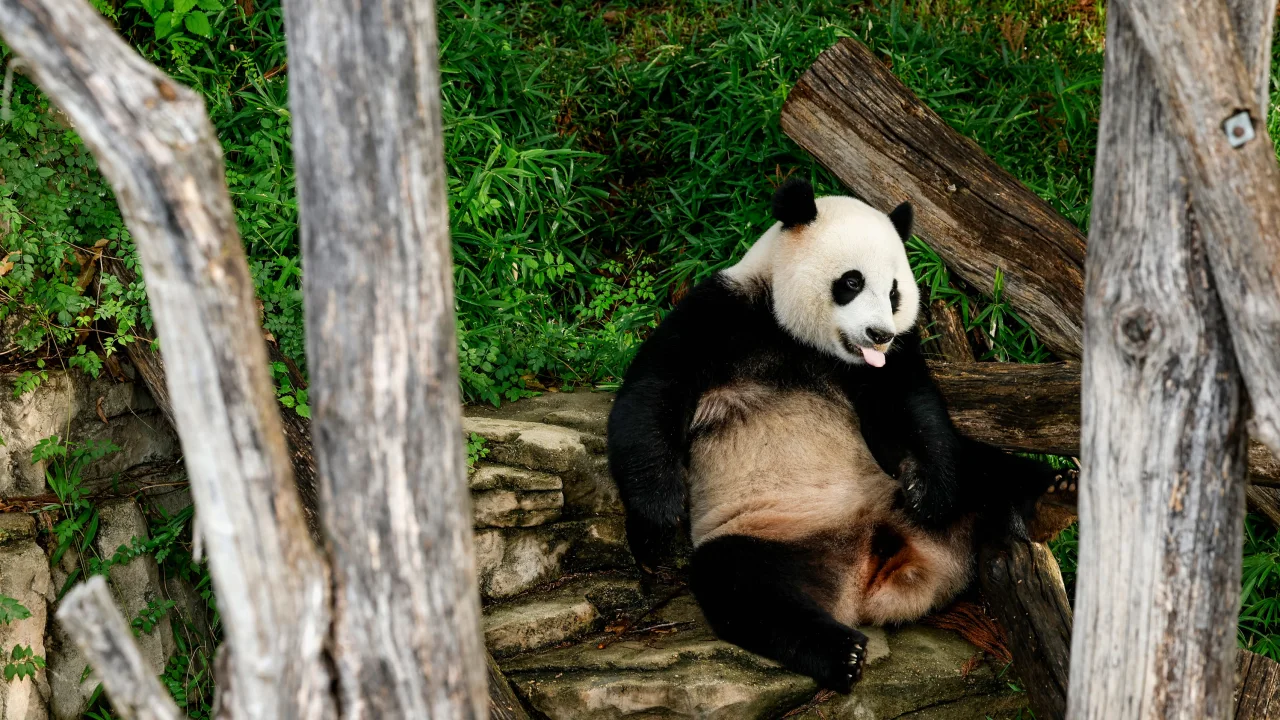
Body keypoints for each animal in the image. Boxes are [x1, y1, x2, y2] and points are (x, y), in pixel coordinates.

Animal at [604, 178, 1064, 691]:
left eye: (894, 291)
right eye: (852, 282)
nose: (879, 333)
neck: (799, 339)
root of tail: (873, 576)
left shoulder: (887, 365)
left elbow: (910, 409)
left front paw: (930, 489)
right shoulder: (722, 314)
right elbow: (652, 393)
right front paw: (660, 518)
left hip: (891, 491)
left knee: (982, 468)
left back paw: (1052, 496)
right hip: (770, 533)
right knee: (743, 586)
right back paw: (840, 651)